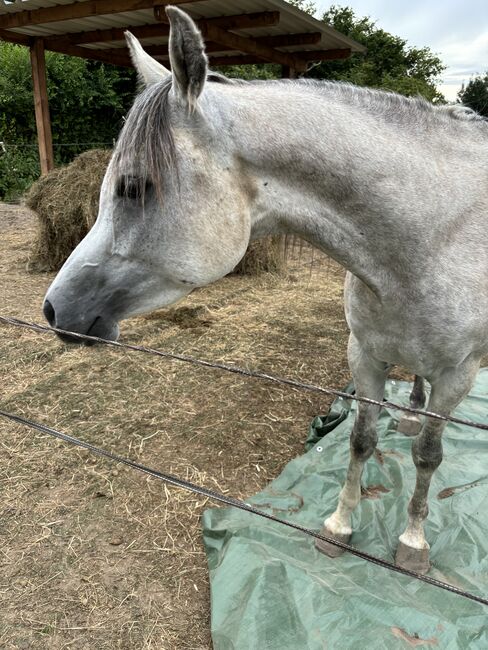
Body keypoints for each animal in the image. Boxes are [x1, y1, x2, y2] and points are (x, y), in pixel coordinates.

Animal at [42, 5, 488, 572]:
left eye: (134, 187)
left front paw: (412, 542)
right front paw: (339, 525)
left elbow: (429, 456)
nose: (54, 309)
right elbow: (361, 440)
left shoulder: (459, 375)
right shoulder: (364, 355)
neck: (432, 239)